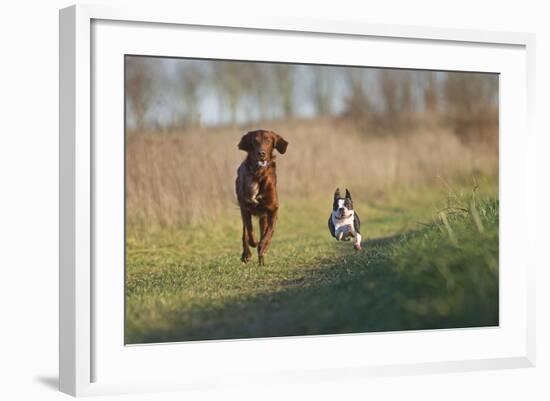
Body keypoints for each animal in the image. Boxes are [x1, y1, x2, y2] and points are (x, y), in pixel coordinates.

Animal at [236, 130, 288, 264]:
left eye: (268, 141)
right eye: (254, 141)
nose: (261, 153)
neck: (258, 174)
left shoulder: (273, 209)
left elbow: (267, 234)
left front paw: (263, 247)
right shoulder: (245, 207)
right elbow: (249, 230)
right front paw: (253, 243)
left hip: (263, 216)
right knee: (244, 232)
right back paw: (246, 254)